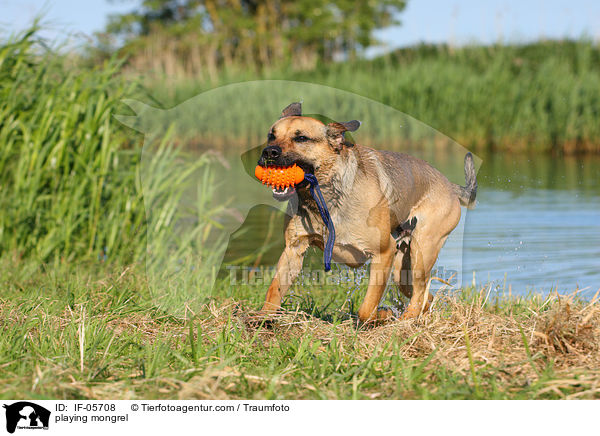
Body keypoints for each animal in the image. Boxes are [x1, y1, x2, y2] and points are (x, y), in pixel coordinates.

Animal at [258, 100, 478, 322]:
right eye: (271, 135)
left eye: (301, 138)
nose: (269, 152)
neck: (326, 196)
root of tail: (450, 185)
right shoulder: (293, 249)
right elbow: (274, 290)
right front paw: (262, 318)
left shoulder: (384, 252)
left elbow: (367, 307)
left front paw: (381, 314)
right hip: (401, 270)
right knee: (425, 296)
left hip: (422, 250)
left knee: (419, 293)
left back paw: (404, 319)